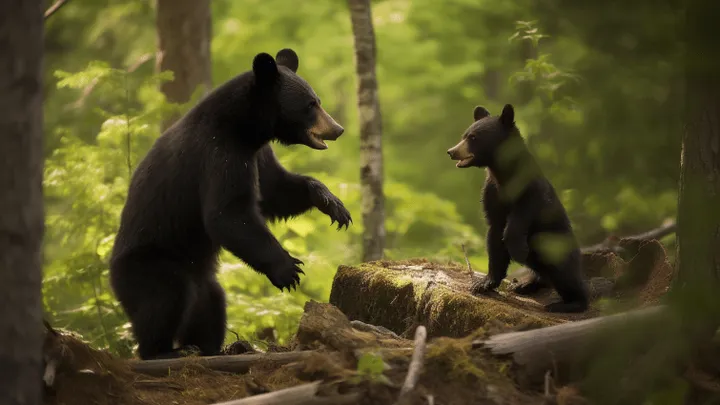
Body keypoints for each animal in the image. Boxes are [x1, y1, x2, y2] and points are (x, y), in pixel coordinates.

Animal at [109, 48, 352, 360]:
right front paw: (289, 269)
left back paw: (209, 346)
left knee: (211, 305)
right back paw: (165, 351)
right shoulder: (219, 155)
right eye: (311, 104)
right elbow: (228, 214)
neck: (244, 128)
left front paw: (333, 205)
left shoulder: (258, 154)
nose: (338, 129)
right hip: (150, 264)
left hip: (202, 278)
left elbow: (275, 191)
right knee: (164, 298)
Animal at [446, 103, 589, 313]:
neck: (503, 175)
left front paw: (519, 250)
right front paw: (483, 283)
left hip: (558, 243)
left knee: (565, 271)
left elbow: (519, 219)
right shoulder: (492, 192)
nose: (451, 151)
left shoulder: (530, 191)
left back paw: (570, 303)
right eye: (464, 135)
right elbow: (494, 234)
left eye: (473, 137)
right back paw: (525, 284)